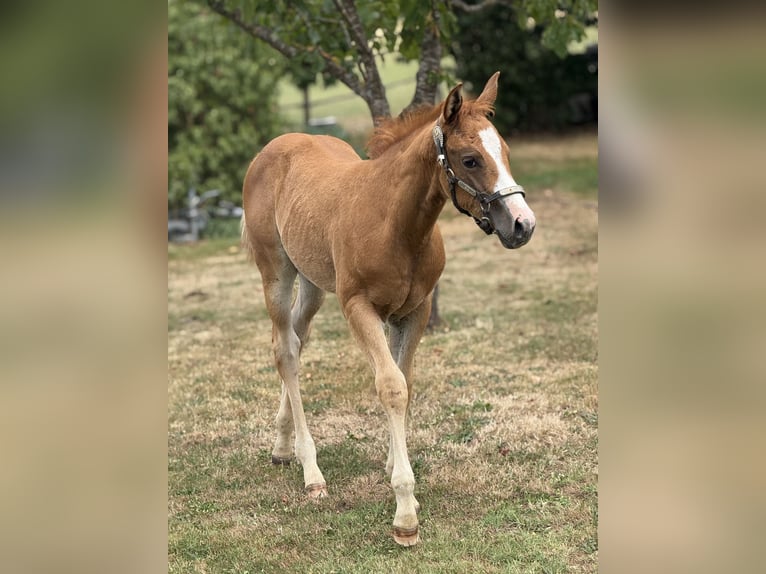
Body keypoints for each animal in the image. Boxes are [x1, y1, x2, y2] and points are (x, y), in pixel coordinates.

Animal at [241, 72, 536, 546]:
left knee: (296, 341)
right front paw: (405, 511)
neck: (395, 224)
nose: (523, 225)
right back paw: (311, 471)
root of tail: (277, 143)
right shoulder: (359, 308)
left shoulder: (415, 311)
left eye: (505, 151)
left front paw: (395, 469)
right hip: (276, 272)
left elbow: (406, 380)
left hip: (314, 284)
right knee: (285, 351)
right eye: (470, 160)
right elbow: (391, 386)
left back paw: (282, 447)